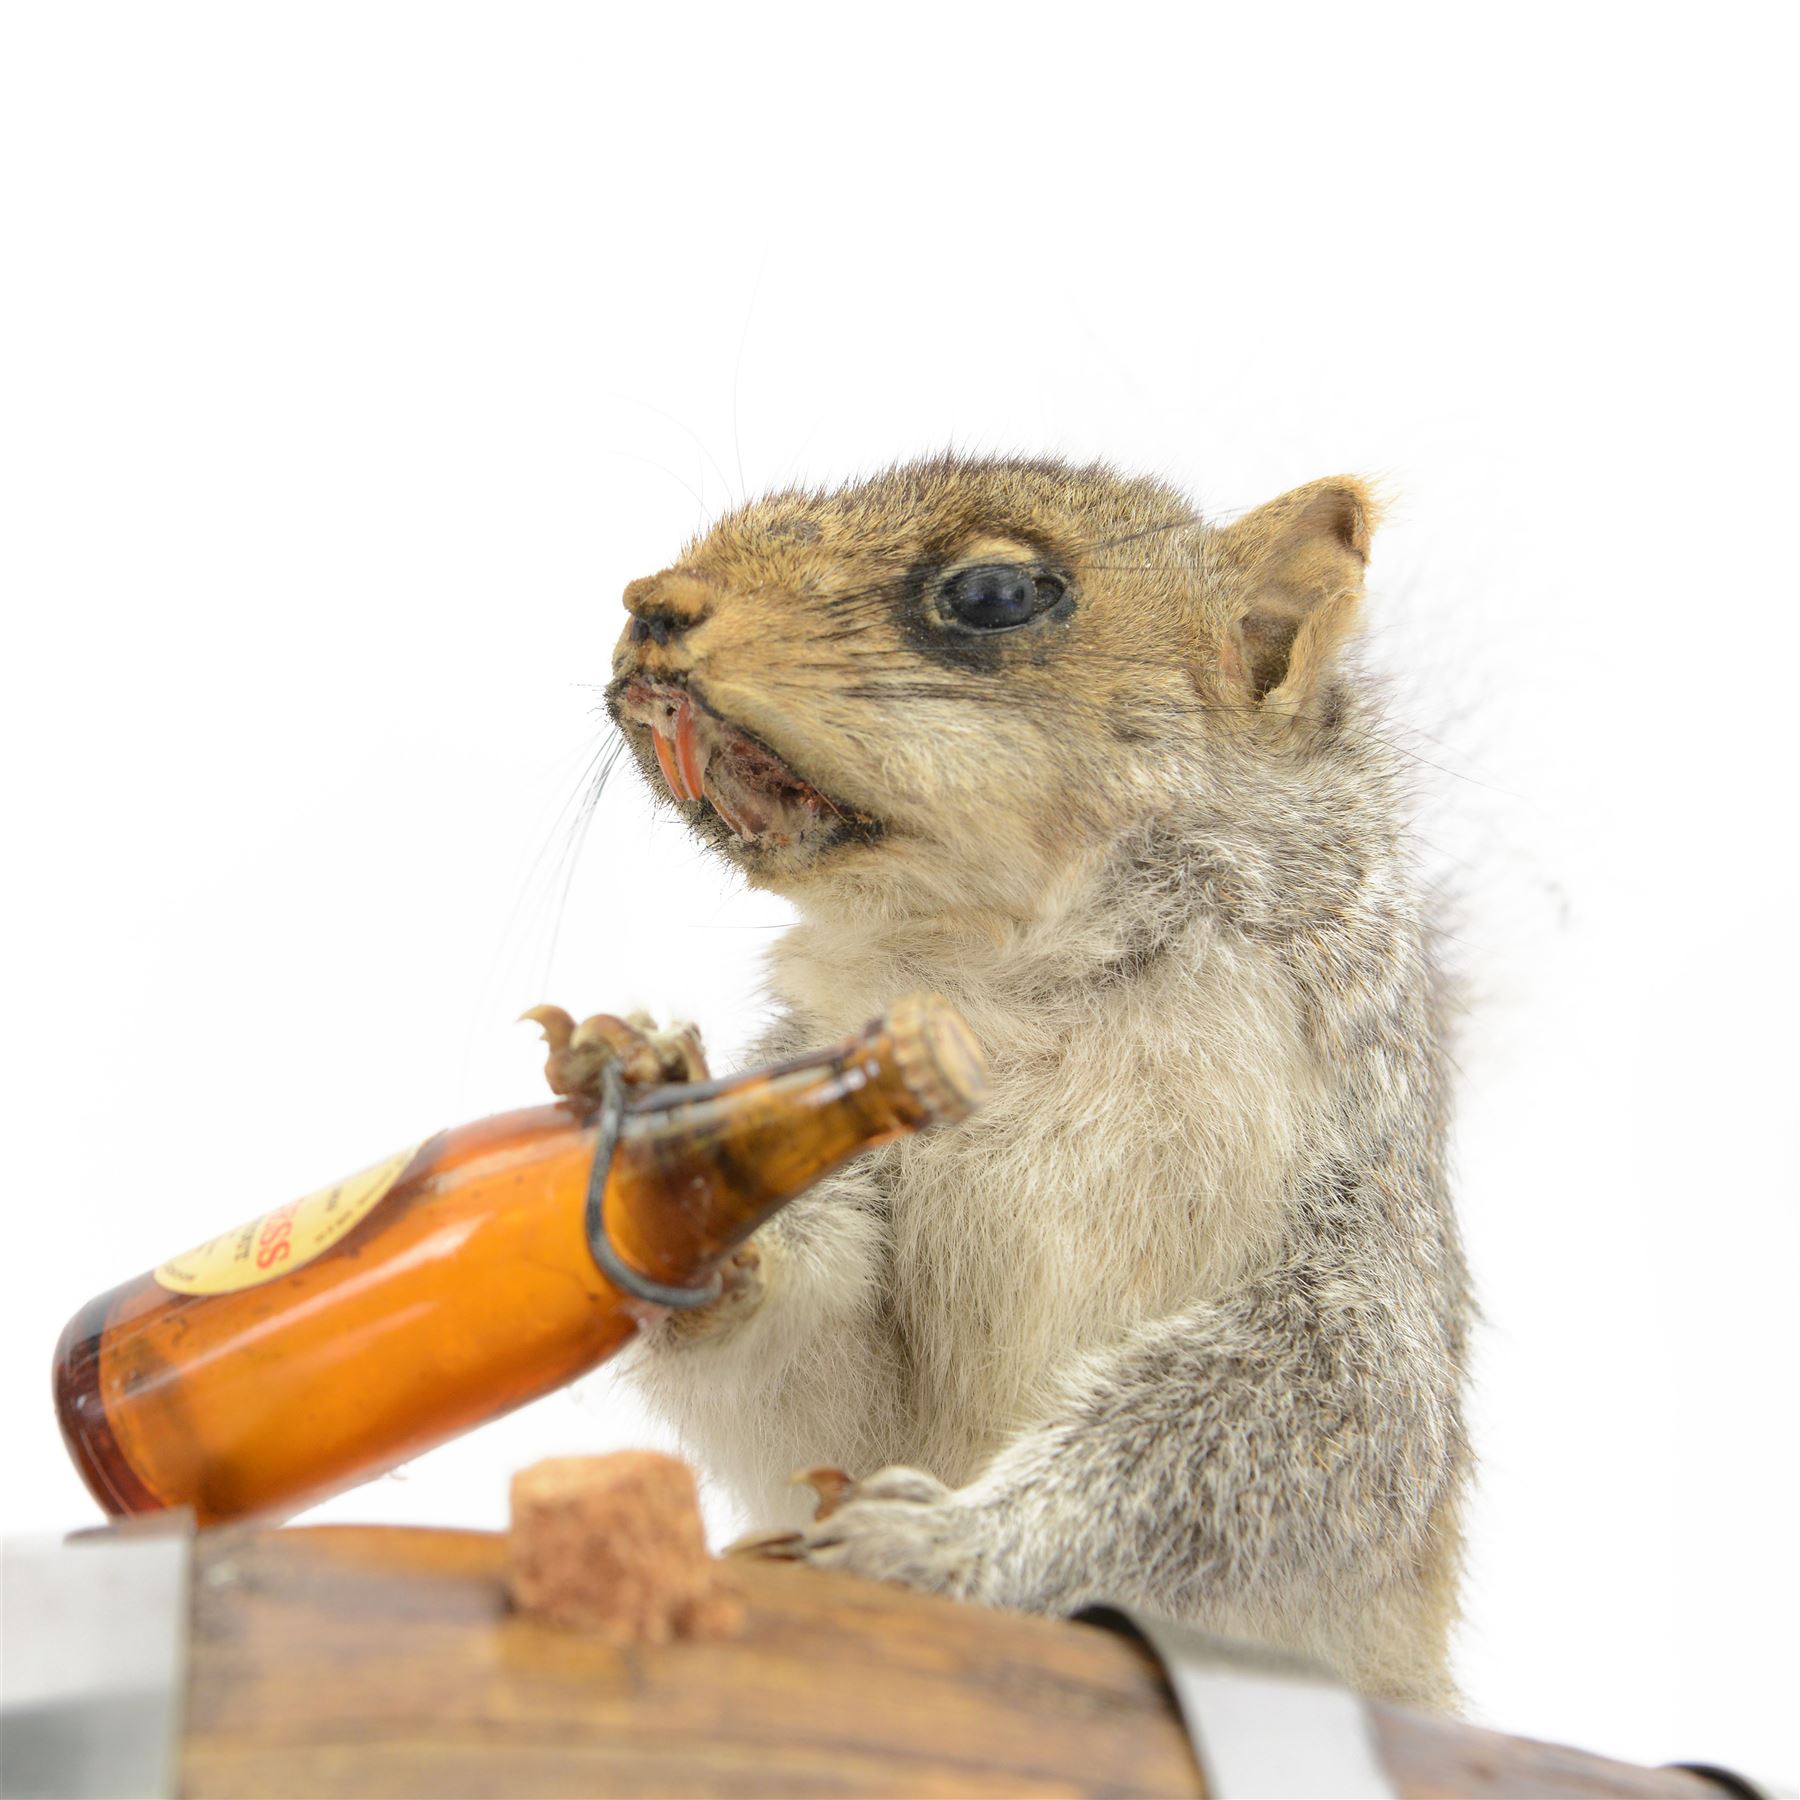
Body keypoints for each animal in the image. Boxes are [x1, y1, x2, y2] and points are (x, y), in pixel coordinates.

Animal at [554, 453, 1472, 1709]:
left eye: (994, 594)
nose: (651, 607)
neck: (1006, 978)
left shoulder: (1347, 1209)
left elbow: (1325, 1431)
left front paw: (954, 1545)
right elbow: (829, 1390)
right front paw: (678, 1168)